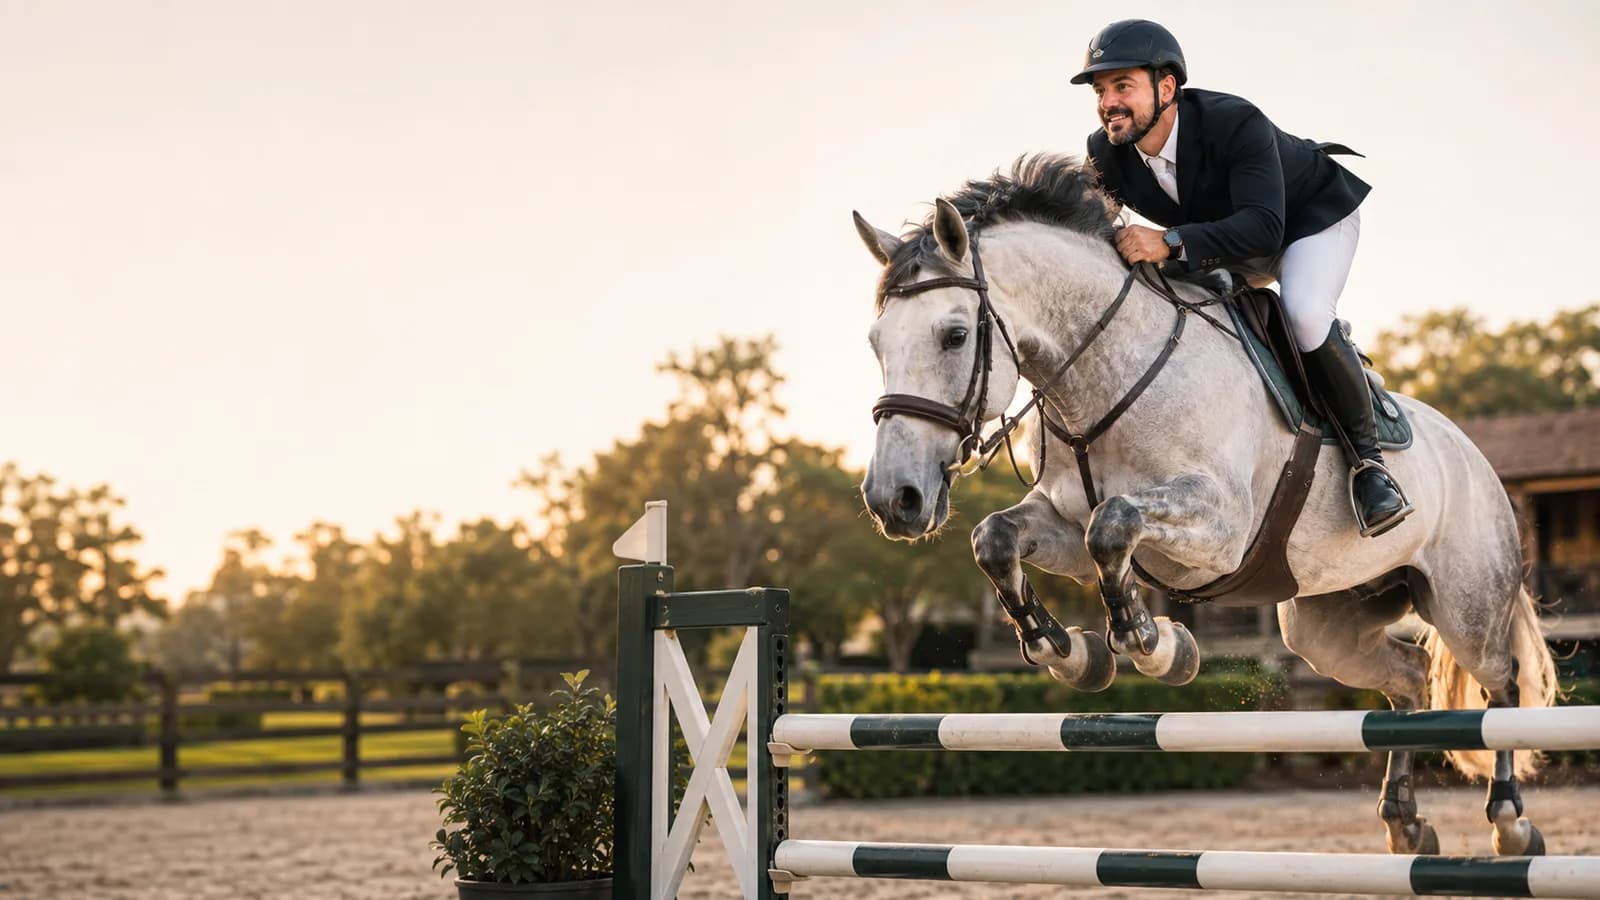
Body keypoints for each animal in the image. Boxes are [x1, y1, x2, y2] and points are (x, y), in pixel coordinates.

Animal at [855, 154, 1558, 857]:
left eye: (954, 335)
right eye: (876, 343)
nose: (895, 500)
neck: (1104, 375)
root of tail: (1475, 457)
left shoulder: (1220, 530)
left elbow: (1115, 525)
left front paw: (1154, 645)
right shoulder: (1063, 525)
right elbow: (998, 539)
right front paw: (1069, 651)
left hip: (1466, 604)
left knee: (1502, 682)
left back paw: (1510, 822)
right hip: (1326, 623)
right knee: (1409, 675)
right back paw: (1406, 822)